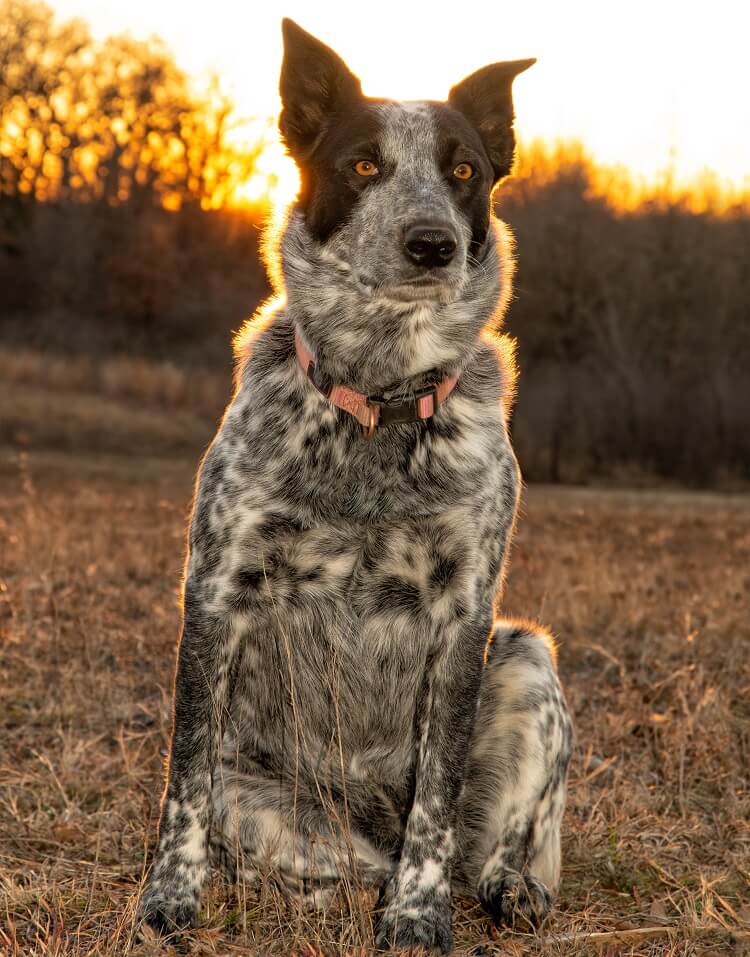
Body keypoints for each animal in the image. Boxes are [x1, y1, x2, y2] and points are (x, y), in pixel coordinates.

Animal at [140, 18, 576, 952]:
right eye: (364, 164)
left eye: (464, 170)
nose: (432, 243)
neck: (378, 396)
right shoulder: (217, 589)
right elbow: (184, 777)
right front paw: (170, 896)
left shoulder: (465, 614)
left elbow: (438, 797)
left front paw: (416, 914)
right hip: (267, 800)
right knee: (328, 860)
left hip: (526, 659)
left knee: (509, 834)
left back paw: (510, 882)